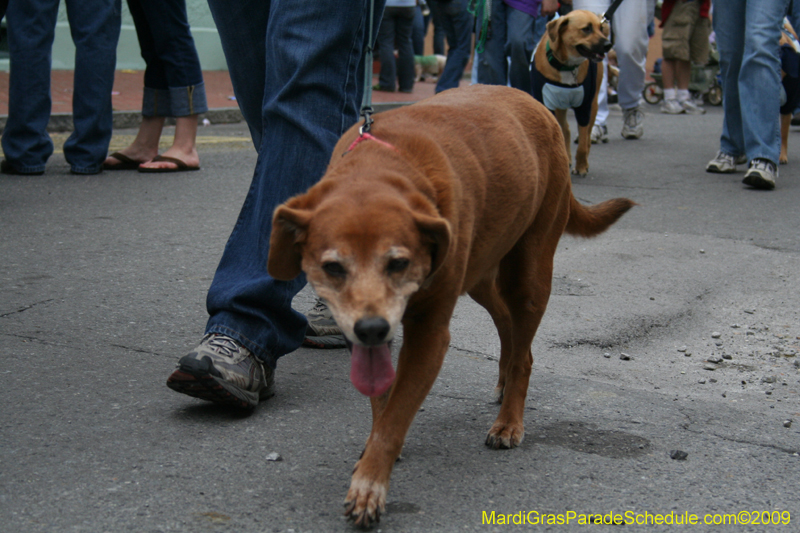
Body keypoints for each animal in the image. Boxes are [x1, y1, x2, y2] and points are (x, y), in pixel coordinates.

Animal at [268, 85, 636, 524]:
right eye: (333, 267)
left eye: (398, 262)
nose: (372, 328)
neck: (380, 166)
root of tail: (534, 101)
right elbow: (382, 399)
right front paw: (375, 447)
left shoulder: (429, 335)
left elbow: (396, 416)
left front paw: (371, 482)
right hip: (480, 273)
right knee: (507, 324)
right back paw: (503, 379)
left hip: (529, 272)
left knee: (525, 351)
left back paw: (509, 420)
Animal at [532, 9, 612, 177]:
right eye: (586, 29)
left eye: (600, 28)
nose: (608, 45)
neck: (566, 66)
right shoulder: (547, 103)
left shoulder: (584, 107)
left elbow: (582, 142)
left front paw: (581, 166)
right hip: (559, 104)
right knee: (566, 130)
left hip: (593, 105)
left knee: (586, 137)